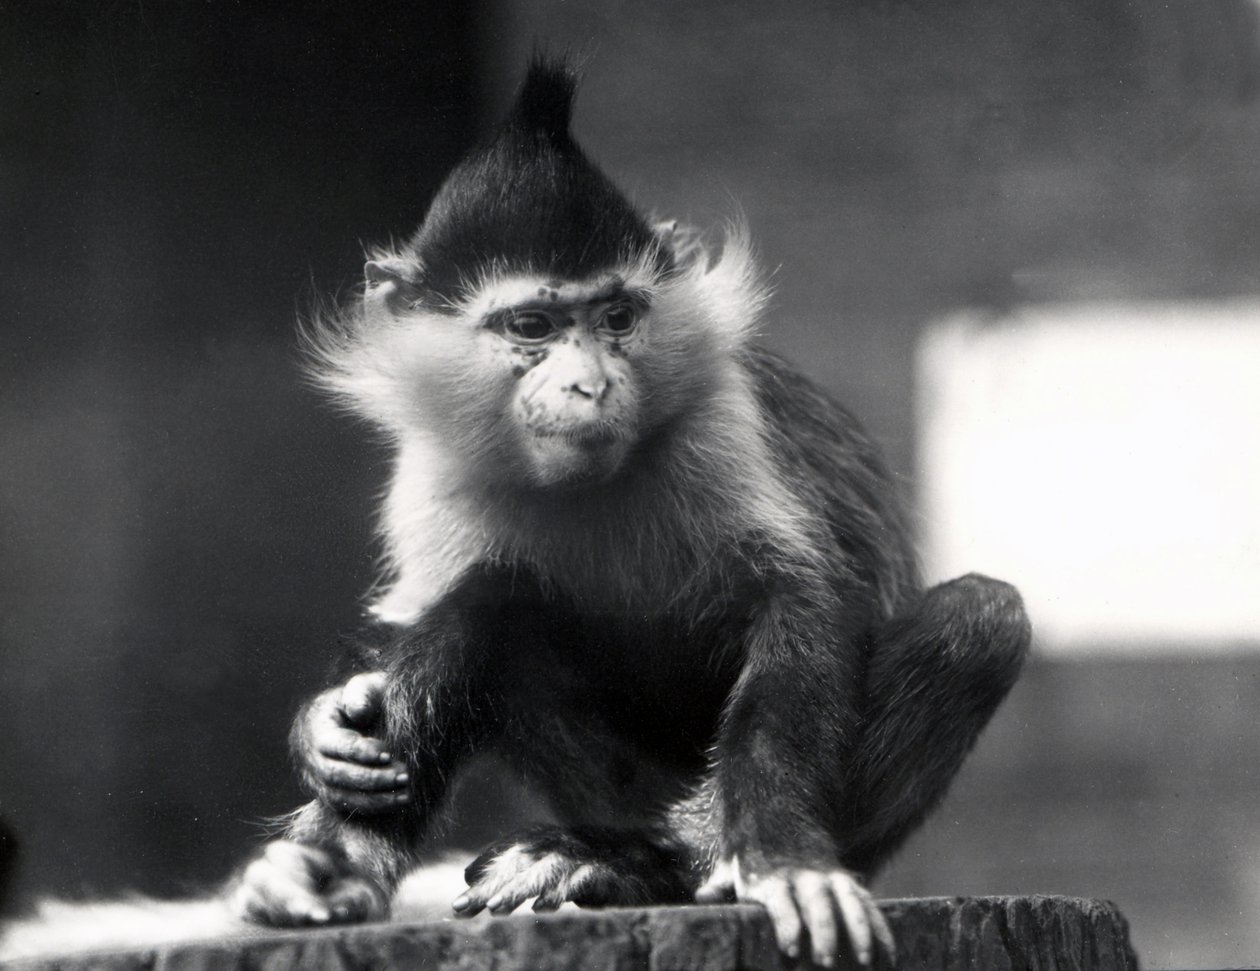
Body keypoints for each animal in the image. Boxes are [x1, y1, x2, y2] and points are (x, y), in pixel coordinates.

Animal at [231, 56, 1028, 967]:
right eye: (533, 325)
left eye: (616, 317)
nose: (589, 383)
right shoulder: (429, 476)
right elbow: (429, 621)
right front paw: (330, 735)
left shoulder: (722, 421)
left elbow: (802, 604)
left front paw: (783, 858)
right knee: (492, 597)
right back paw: (335, 870)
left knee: (982, 618)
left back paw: (642, 863)